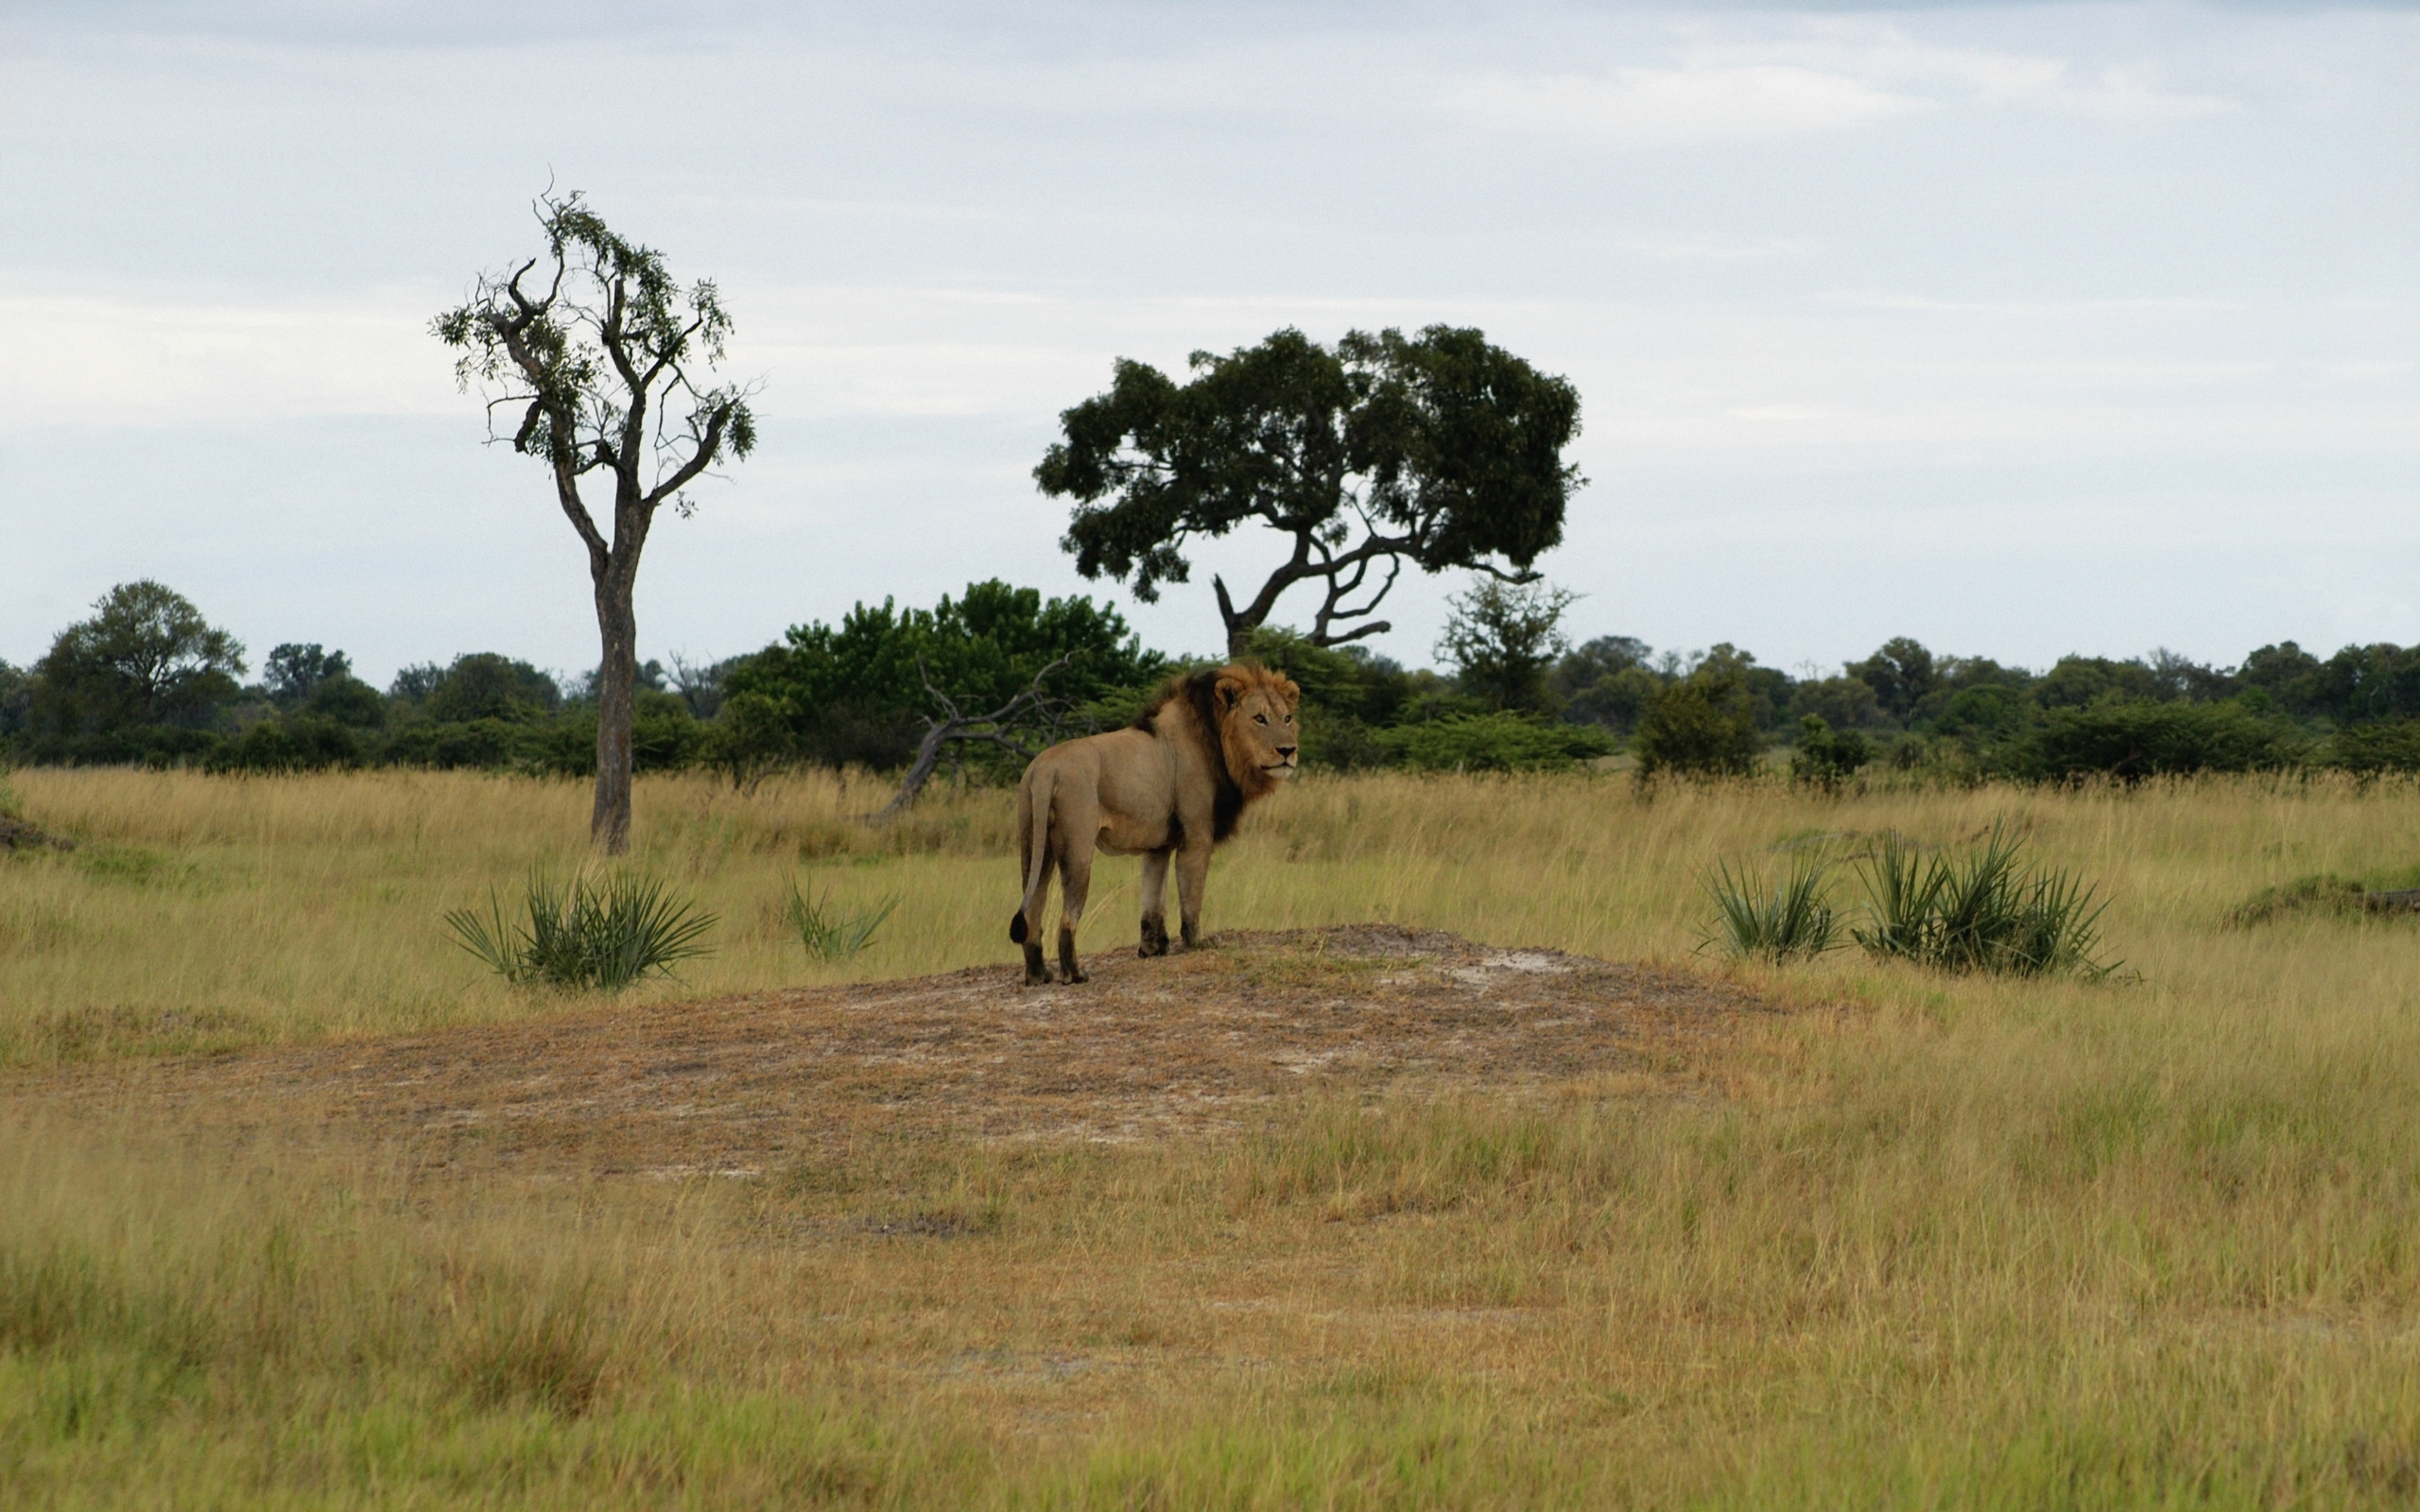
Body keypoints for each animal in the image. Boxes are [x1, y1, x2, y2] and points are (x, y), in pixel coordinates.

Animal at [1006, 658, 1297, 977]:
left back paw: (1038, 976)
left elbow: (1152, 899)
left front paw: (1152, 948)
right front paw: (1198, 942)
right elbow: (1191, 896)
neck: (1216, 737)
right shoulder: (1196, 835)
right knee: (1067, 917)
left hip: (1033, 843)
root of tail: (1046, 769)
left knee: (1033, 907)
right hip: (1077, 846)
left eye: (1287, 718)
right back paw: (1075, 974)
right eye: (1259, 718)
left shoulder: (1157, 846)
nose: (1288, 751)